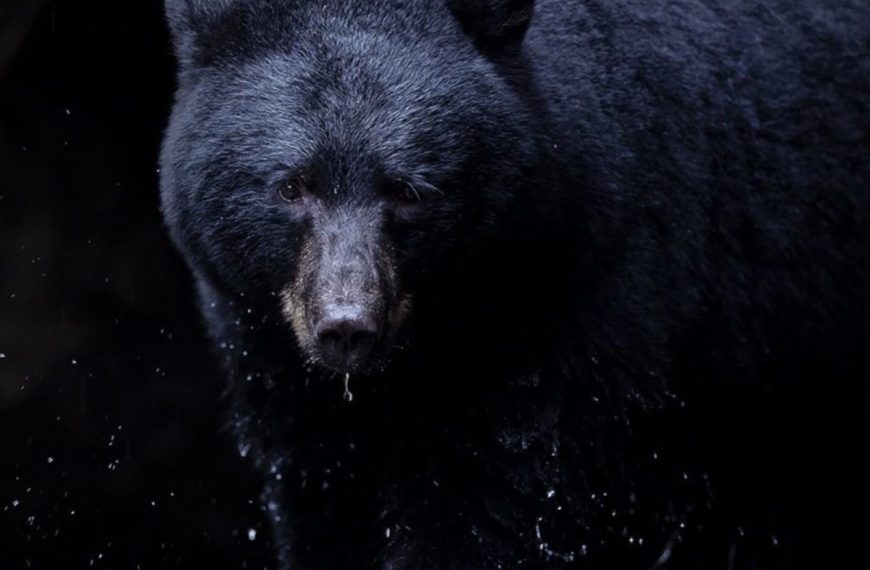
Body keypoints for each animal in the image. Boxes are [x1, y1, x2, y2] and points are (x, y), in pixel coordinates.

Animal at [159, 0, 870, 568]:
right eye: (291, 187)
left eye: (408, 190)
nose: (347, 327)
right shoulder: (273, 359)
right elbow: (326, 495)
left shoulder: (574, 309)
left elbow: (500, 501)